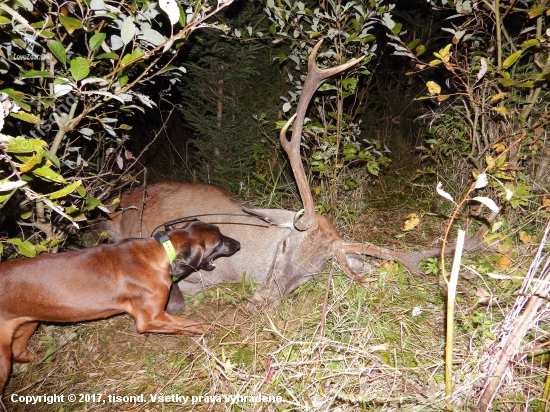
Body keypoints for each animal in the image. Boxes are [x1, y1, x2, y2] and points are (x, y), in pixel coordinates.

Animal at [0, 220, 242, 398]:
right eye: (219, 242)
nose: (238, 244)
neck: (160, 252)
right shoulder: (150, 318)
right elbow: (192, 324)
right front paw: (217, 329)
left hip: (29, 323)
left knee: (20, 352)